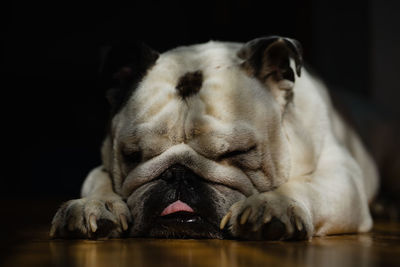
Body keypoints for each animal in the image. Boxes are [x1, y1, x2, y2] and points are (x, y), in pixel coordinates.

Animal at [50, 35, 378, 241]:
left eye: (237, 153)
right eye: (133, 156)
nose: (178, 174)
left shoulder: (342, 177)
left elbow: (306, 185)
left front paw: (273, 204)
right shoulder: (104, 163)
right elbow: (96, 178)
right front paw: (93, 204)